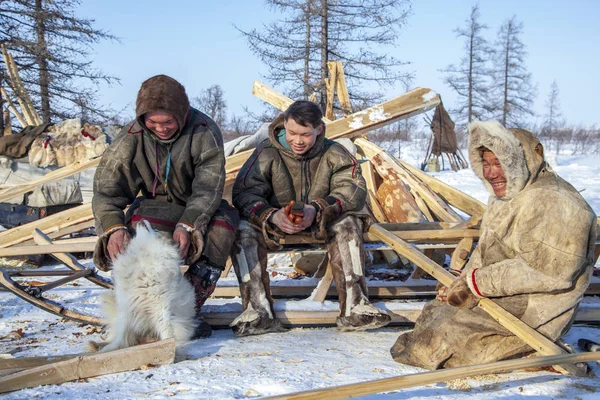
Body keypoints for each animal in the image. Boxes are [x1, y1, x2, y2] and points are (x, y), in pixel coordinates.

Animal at [88, 220, 196, 352]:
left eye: (156, 230)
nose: (142, 220)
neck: (142, 254)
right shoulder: (127, 308)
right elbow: (121, 336)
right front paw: (110, 350)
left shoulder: (162, 308)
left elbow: (167, 332)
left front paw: (169, 347)